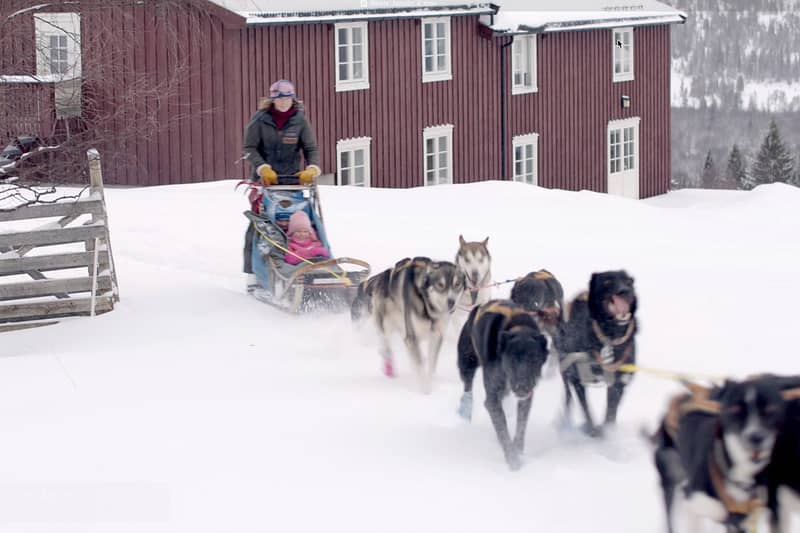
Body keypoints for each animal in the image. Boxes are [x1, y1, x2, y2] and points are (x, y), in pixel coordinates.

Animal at [351, 256, 465, 393]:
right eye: (440, 285)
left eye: (457, 284)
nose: (451, 302)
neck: (428, 308)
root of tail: (381, 276)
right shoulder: (413, 336)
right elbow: (420, 365)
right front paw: (425, 390)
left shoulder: (436, 335)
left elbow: (431, 364)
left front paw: (430, 381)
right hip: (385, 325)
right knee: (386, 346)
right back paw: (389, 368)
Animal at [456, 300, 550, 470]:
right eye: (512, 360)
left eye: (534, 360)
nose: (522, 387)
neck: (519, 328)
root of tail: (478, 307)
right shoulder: (492, 398)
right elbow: (503, 429)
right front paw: (512, 459)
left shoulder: (526, 398)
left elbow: (521, 424)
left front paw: (518, 449)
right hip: (467, 361)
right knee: (467, 385)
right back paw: (465, 408)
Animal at [556, 270, 637, 437]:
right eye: (607, 282)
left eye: (628, 281)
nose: (624, 291)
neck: (609, 337)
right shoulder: (578, 378)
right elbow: (586, 409)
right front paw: (592, 431)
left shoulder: (619, 382)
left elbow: (611, 412)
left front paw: (608, 431)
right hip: (565, 369)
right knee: (568, 395)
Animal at [650, 377, 787, 533]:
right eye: (736, 410)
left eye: (770, 410)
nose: (756, 437)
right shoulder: (694, 496)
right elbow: (714, 510)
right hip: (670, 473)